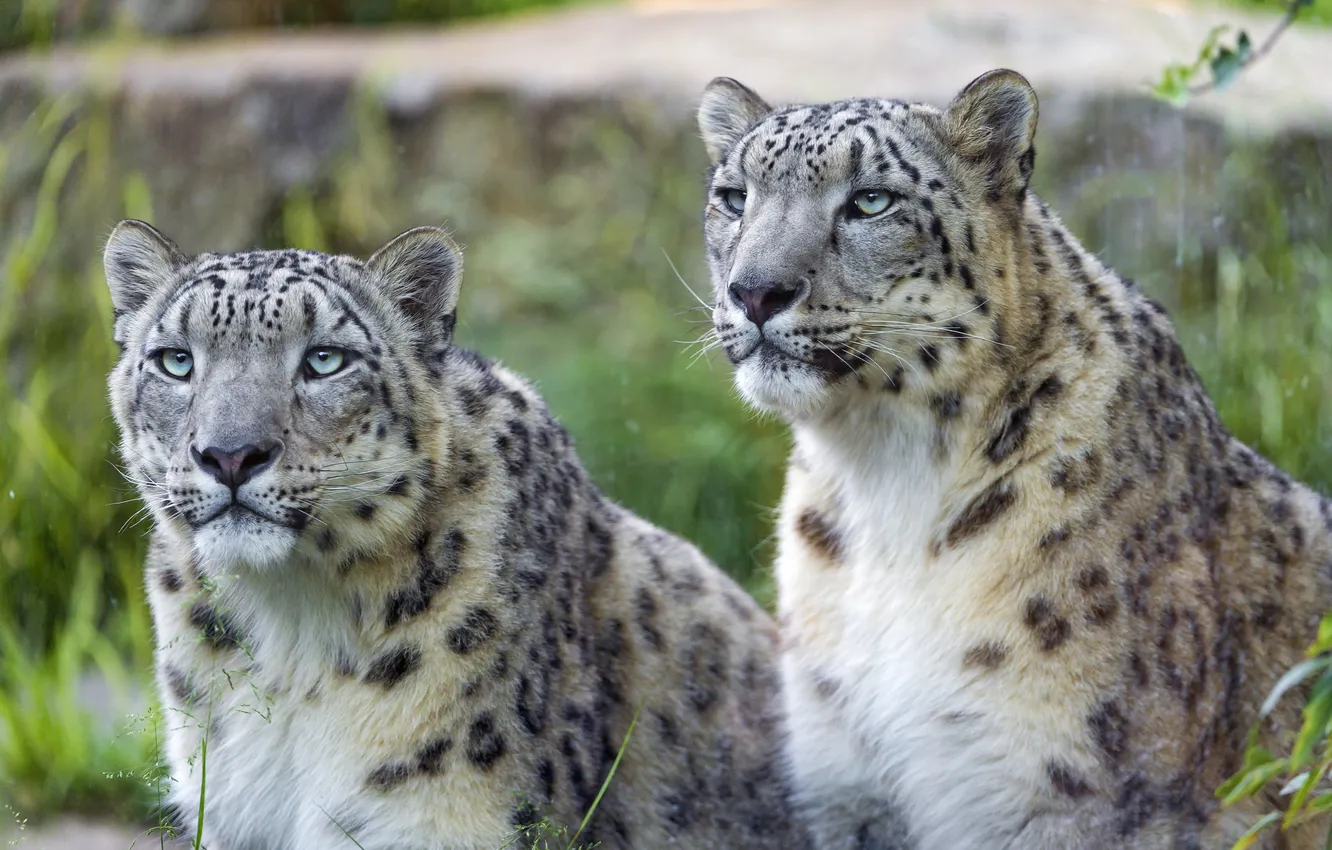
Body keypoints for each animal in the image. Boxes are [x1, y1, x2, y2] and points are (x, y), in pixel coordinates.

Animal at [694, 68, 1332, 850]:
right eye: (734, 197)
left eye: (871, 200)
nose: (754, 291)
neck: (881, 480)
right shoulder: (848, 784)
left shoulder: (1081, 797)